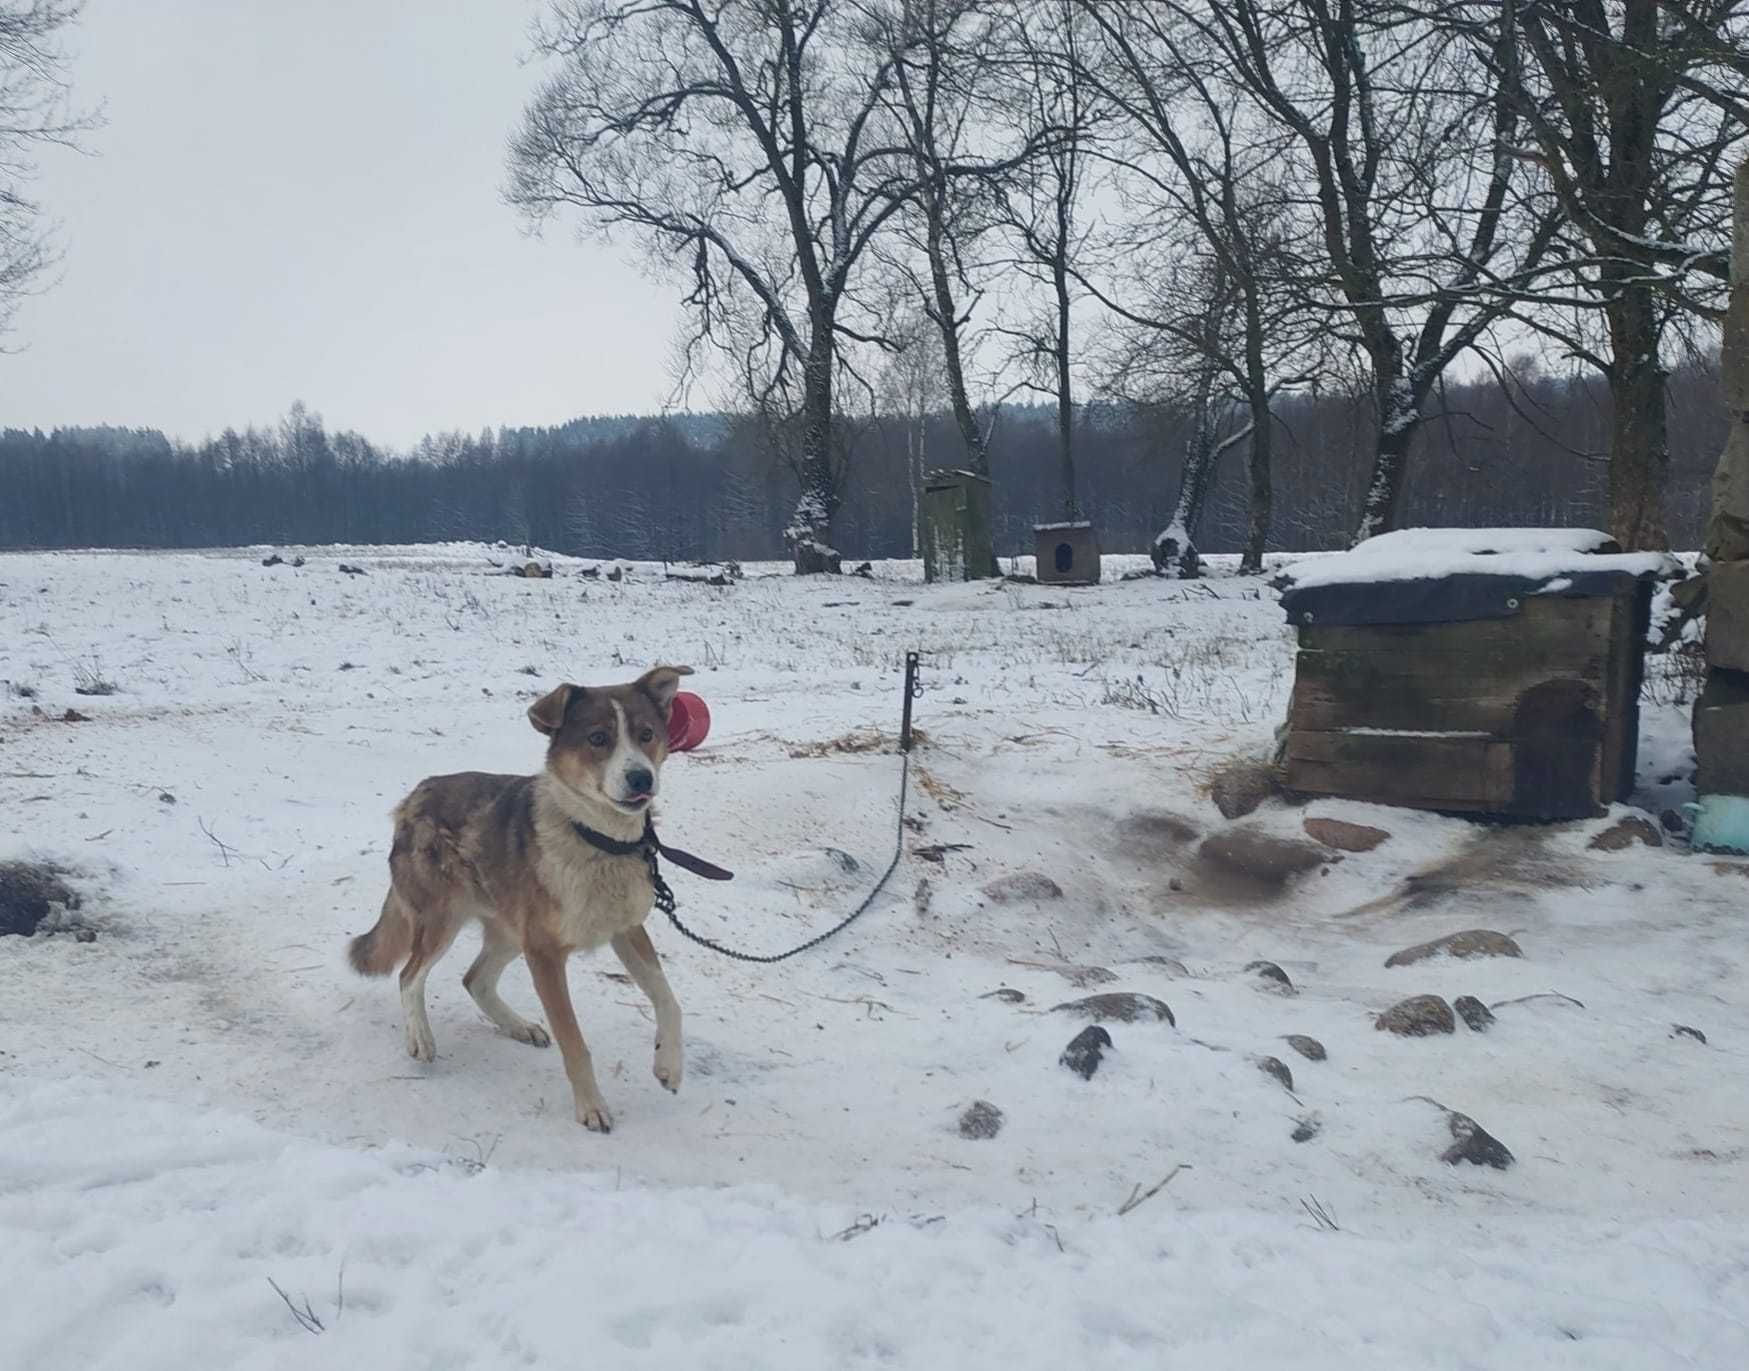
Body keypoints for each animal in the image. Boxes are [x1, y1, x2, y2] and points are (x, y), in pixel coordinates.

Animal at [344, 668, 692, 1133]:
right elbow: (574, 1043)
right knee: (410, 974)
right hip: (444, 919)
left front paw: (668, 1065)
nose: (641, 778)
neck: (596, 839)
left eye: (647, 734)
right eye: (598, 738)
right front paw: (591, 1106)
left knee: (474, 979)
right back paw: (420, 1037)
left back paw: (518, 1027)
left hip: (510, 931)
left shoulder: (626, 929)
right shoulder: (544, 955)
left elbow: (669, 1000)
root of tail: (415, 795)